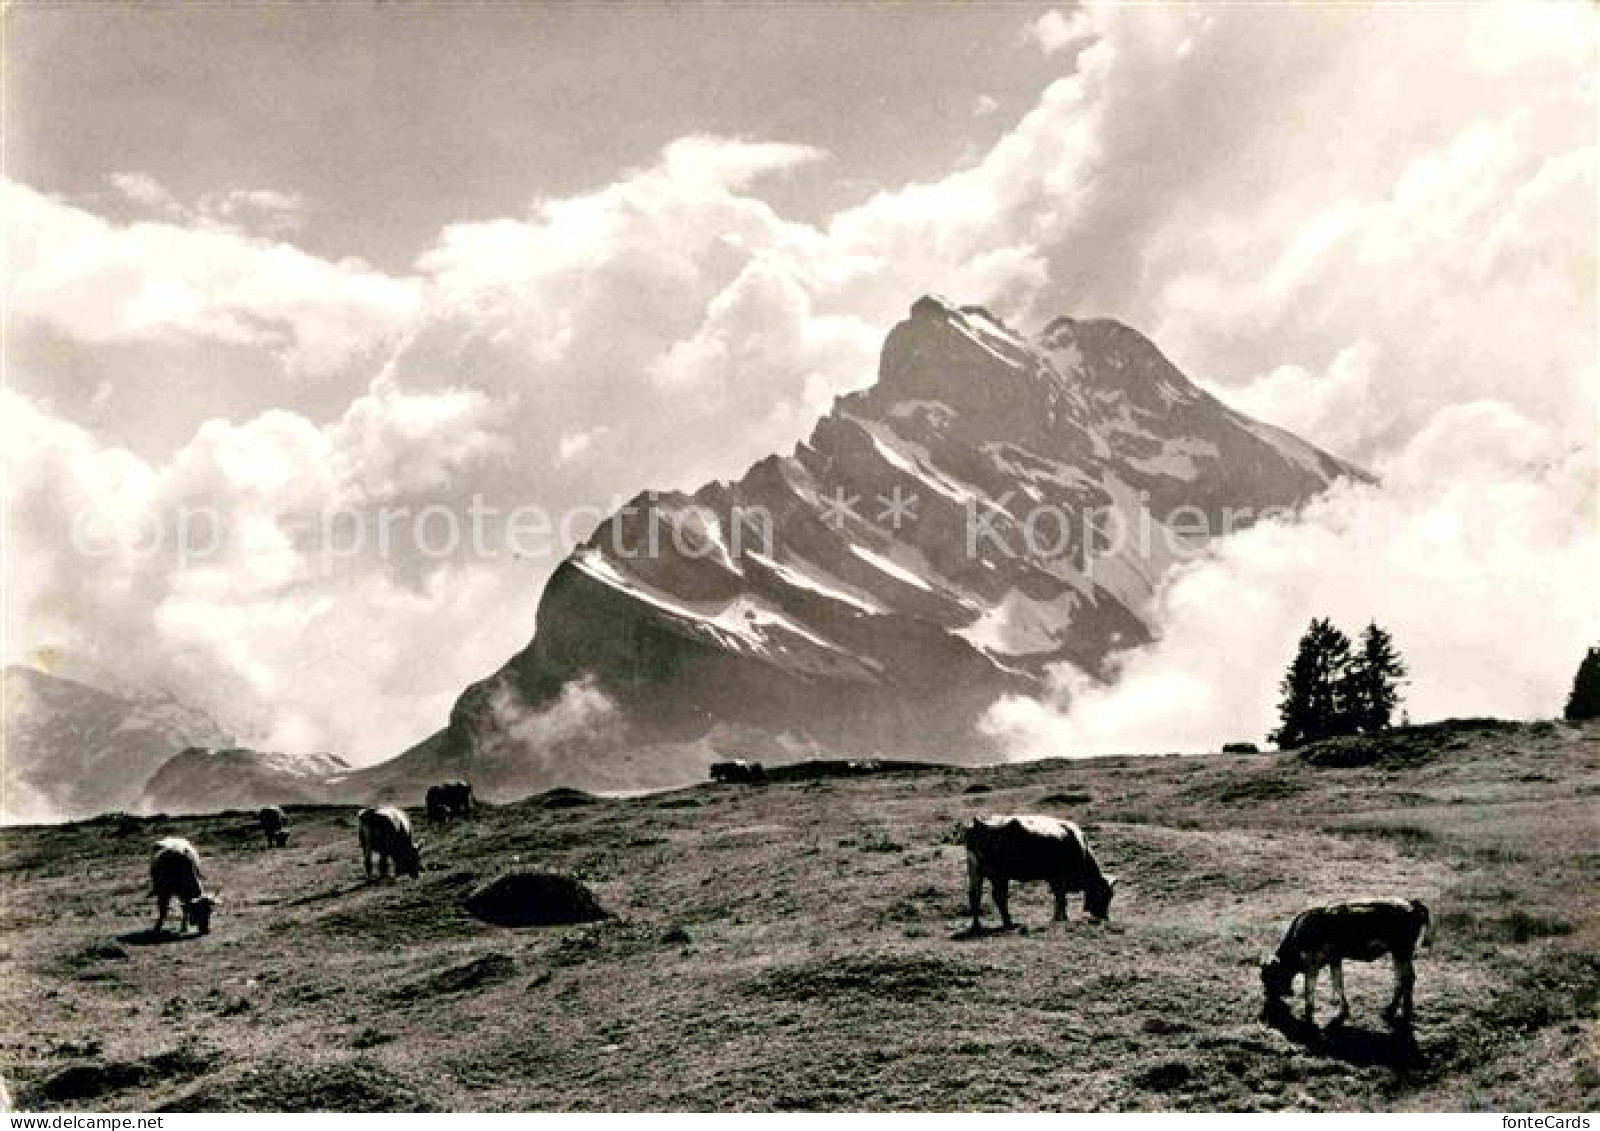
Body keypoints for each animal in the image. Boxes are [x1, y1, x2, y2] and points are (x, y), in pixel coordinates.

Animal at [960, 819, 1113, 934]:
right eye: (1105, 894)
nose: (1105, 917)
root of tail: (978, 824)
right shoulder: (1059, 877)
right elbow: (1061, 898)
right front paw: (1061, 918)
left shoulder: (1054, 878)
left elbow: (1059, 897)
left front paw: (1059, 917)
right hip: (999, 876)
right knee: (999, 897)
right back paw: (1009, 923)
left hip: (976, 873)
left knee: (975, 896)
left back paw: (976, 926)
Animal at [1260, 895, 1440, 1030]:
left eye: (1267, 977)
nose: (1267, 995)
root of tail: (1411, 904)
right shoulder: (1335, 959)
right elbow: (1338, 982)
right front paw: (1343, 1010)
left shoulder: (1312, 963)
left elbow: (1310, 987)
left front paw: (1308, 1013)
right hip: (1398, 955)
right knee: (1401, 979)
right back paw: (1394, 1011)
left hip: (1401, 952)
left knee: (1406, 979)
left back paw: (1400, 1012)